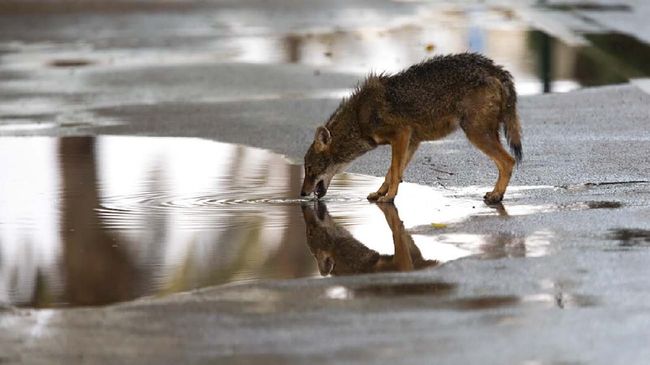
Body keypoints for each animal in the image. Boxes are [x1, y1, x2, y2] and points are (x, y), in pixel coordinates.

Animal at [300, 52, 520, 203]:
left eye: (309, 168)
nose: (301, 193)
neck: (358, 117)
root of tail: (494, 67)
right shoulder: (411, 141)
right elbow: (391, 173)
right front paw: (380, 193)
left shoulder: (400, 135)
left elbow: (395, 173)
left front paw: (389, 197)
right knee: (506, 162)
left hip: (475, 133)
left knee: (509, 161)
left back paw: (496, 195)